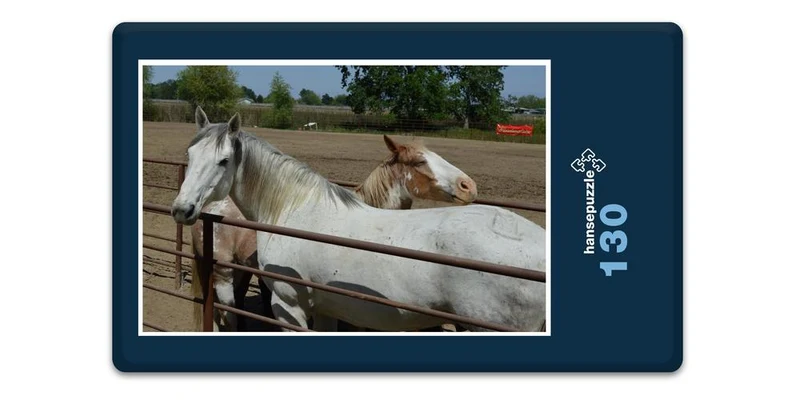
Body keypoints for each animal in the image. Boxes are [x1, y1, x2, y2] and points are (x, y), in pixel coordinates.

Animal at [173, 108, 546, 332]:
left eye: (223, 161)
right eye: (189, 154)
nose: (182, 209)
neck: (294, 210)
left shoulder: (290, 306)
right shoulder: (326, 309)